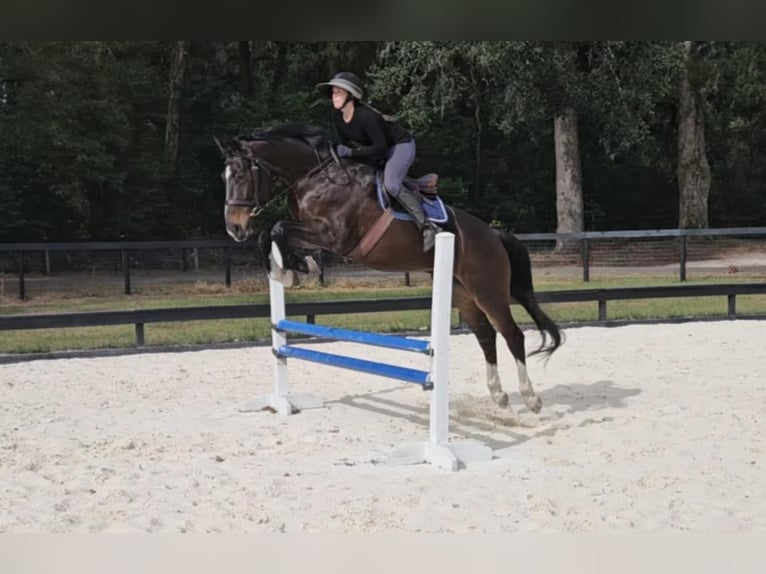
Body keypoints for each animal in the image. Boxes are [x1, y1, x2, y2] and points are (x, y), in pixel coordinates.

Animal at [214, 123, 563, 416]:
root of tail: (494, 235)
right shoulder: (313, 232)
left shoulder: (334, 237)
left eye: (241, 176)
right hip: (462, 292)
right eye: (224, 179)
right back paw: (498, 394)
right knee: (486, 335)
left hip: (487, 289)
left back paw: (530, 397)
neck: (314, 177)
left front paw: (290, 270)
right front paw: (293, 269)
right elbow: (272, 233)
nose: (234, 228)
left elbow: (276, 227)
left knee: (512, 334)